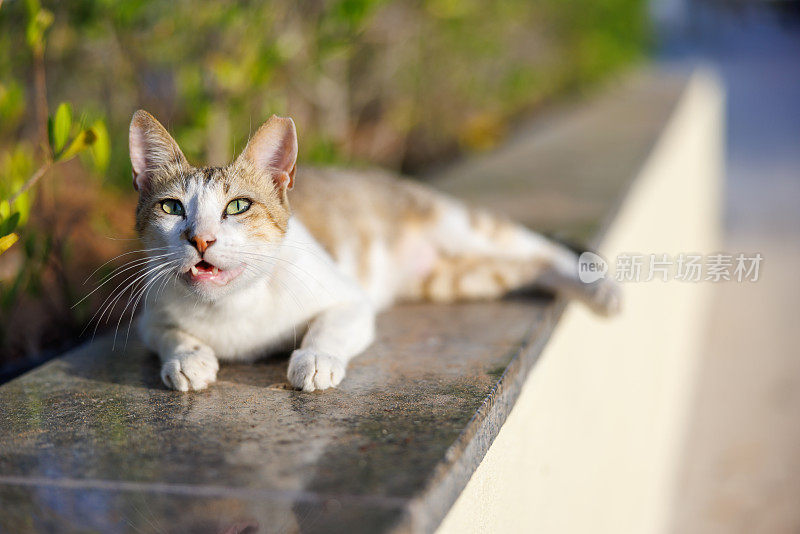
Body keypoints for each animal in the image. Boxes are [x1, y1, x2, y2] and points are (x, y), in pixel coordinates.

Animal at [130, 111, 620, 394]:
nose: (201, 239)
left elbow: (327, 327)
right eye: (171, 207)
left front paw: (315, 360)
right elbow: (169, 334)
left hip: (463, 226)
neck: (233, 309)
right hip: (454, 279)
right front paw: (189, 358)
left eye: (238, 206)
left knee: (542, 247)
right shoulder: (150, 318)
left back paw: (600, 290)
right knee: (527, 267)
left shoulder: (350, 298)